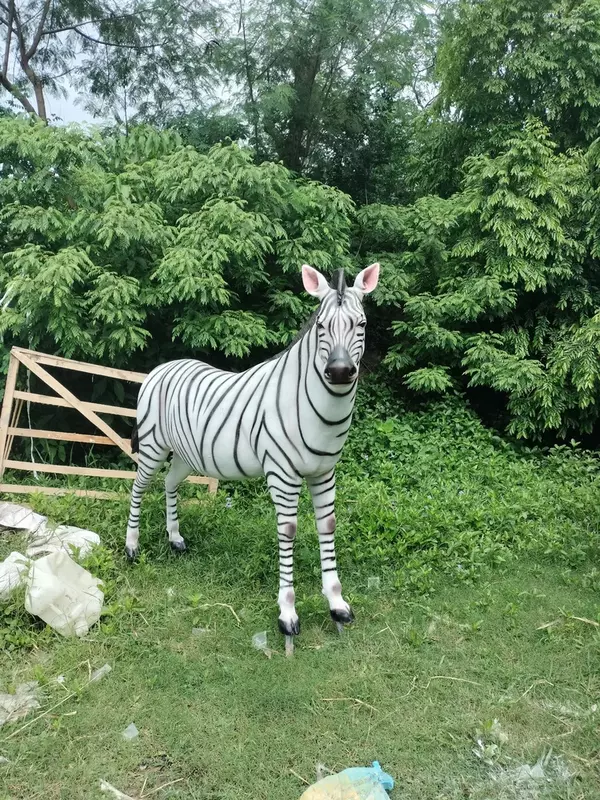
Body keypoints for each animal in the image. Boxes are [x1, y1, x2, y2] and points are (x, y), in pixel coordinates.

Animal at [125, 262, 380, 648]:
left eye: (361, 324)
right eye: (321, 326)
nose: (338, 372)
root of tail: (161, 367)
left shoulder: (324, 472)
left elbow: (328, 525)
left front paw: (337, 605)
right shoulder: (282, 474)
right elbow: (288, 530)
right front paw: (287, 615)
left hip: (185, 454)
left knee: (170, 483)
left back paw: (175, 539)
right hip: (154, 445)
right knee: (138, 488)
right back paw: (131, 548)